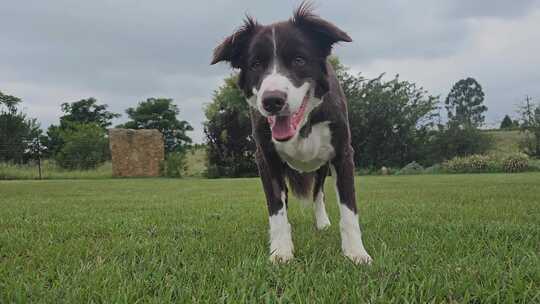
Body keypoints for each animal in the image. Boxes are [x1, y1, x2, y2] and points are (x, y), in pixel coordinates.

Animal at [211, 2, 372, 264]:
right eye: (256, 64)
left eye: (299, 59)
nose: (272, 101)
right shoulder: (266, 157)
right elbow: (276, 207)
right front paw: (281, 251)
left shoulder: (343, 153)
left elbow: (349, 208)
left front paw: (356, 253)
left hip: (321, 167)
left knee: (318, 194)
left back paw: (322, 222)